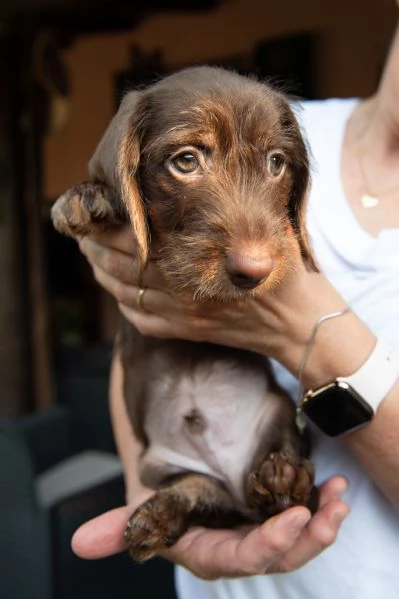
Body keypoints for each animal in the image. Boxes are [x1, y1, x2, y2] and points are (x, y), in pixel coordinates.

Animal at [50, 65, 318, 564]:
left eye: (277, 163)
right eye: (186, 161)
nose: (255, 271)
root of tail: (237, 485)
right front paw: (87, 196)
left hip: (278, 416)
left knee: (286, 488)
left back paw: (283, 480)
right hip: (161, 467)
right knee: (200, 494)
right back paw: (160, 515)